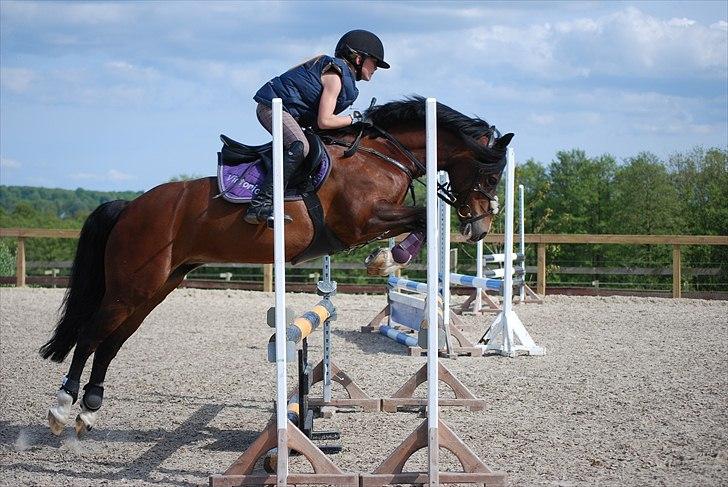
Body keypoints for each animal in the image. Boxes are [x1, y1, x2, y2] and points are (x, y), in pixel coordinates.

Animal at [37, 95, 510, 434]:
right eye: (490, 175)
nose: (480, 227)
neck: (381, 155)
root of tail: (130, 207)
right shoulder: (361, 221)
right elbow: (424, 215)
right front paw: (387, 258)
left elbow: (423, 218)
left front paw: (387, 258)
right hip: (131, 287)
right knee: (91, 334)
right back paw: (62, 409)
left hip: (156, 287)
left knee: (112, 341)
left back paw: (89, 411)